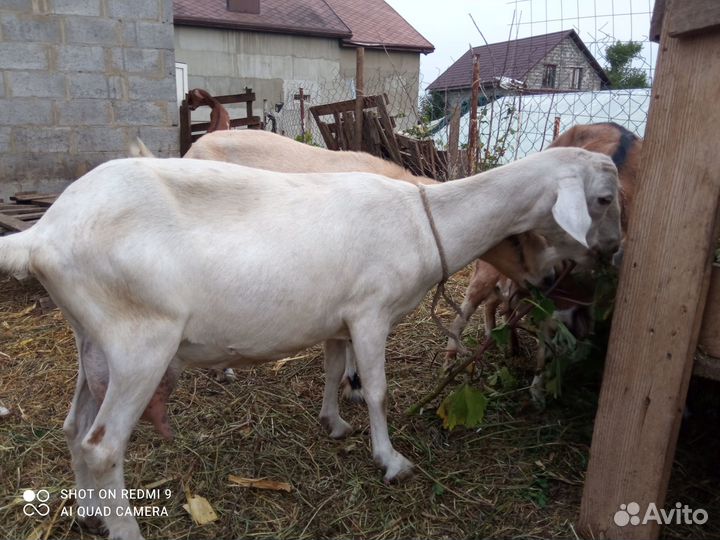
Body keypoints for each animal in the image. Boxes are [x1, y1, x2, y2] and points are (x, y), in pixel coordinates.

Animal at [0, 149, 620, 540]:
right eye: (606, 199)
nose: (610, 252)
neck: (421, 219)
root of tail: (43, 235)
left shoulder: (338, 318)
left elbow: (332, 372)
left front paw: (334, 423)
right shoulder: (370, 312)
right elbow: (377, 390)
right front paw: (390, 459)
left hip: (94, 340)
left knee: (75, 430)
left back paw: (89, 516)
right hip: (141, 342)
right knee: (103, 447)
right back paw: (124, 529)